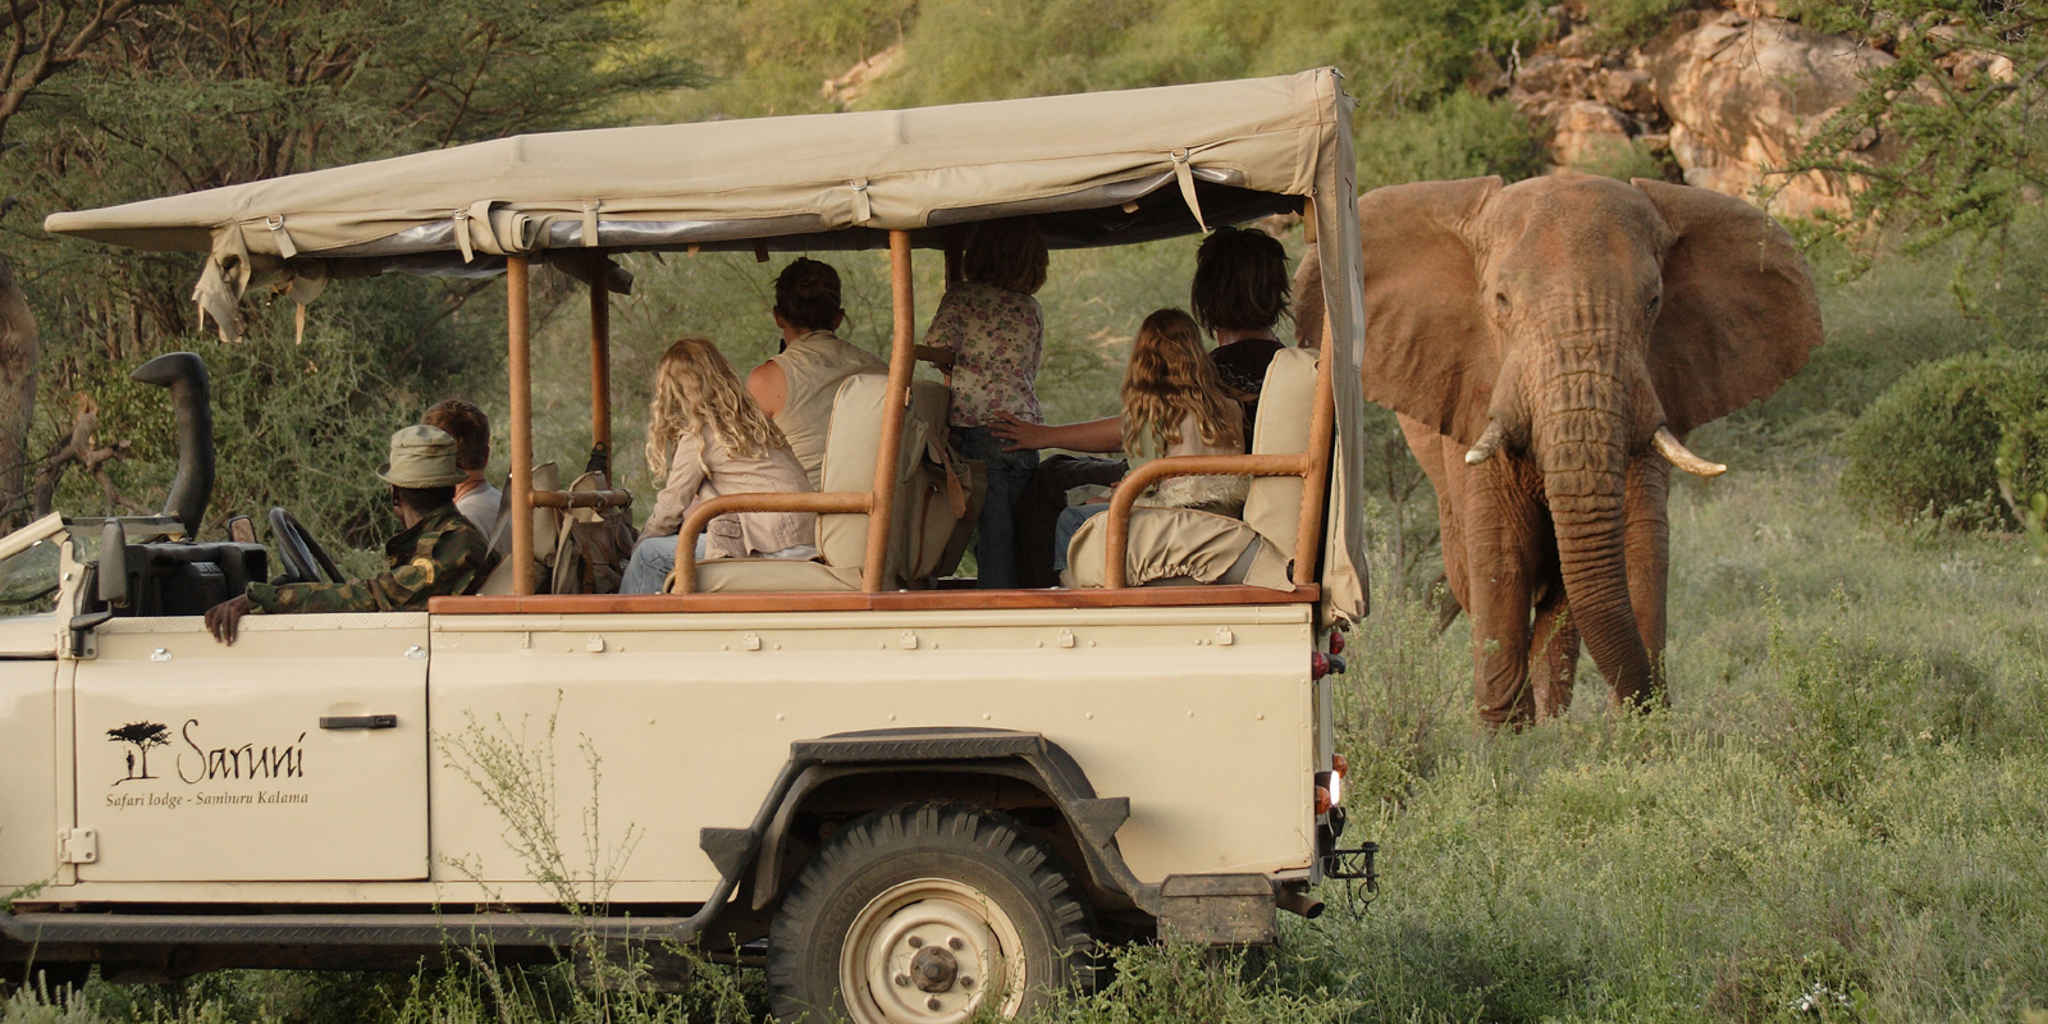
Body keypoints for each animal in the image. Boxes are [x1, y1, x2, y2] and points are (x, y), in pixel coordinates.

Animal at [1298, 174, 1823, 726]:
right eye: (1501, 301)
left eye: (1654, 302)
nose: (1650, 704)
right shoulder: (1478, 391)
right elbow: (1501, 551)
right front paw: (1508, 735)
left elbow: (1641, 542)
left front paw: (1636, 732)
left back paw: (1554, 719)